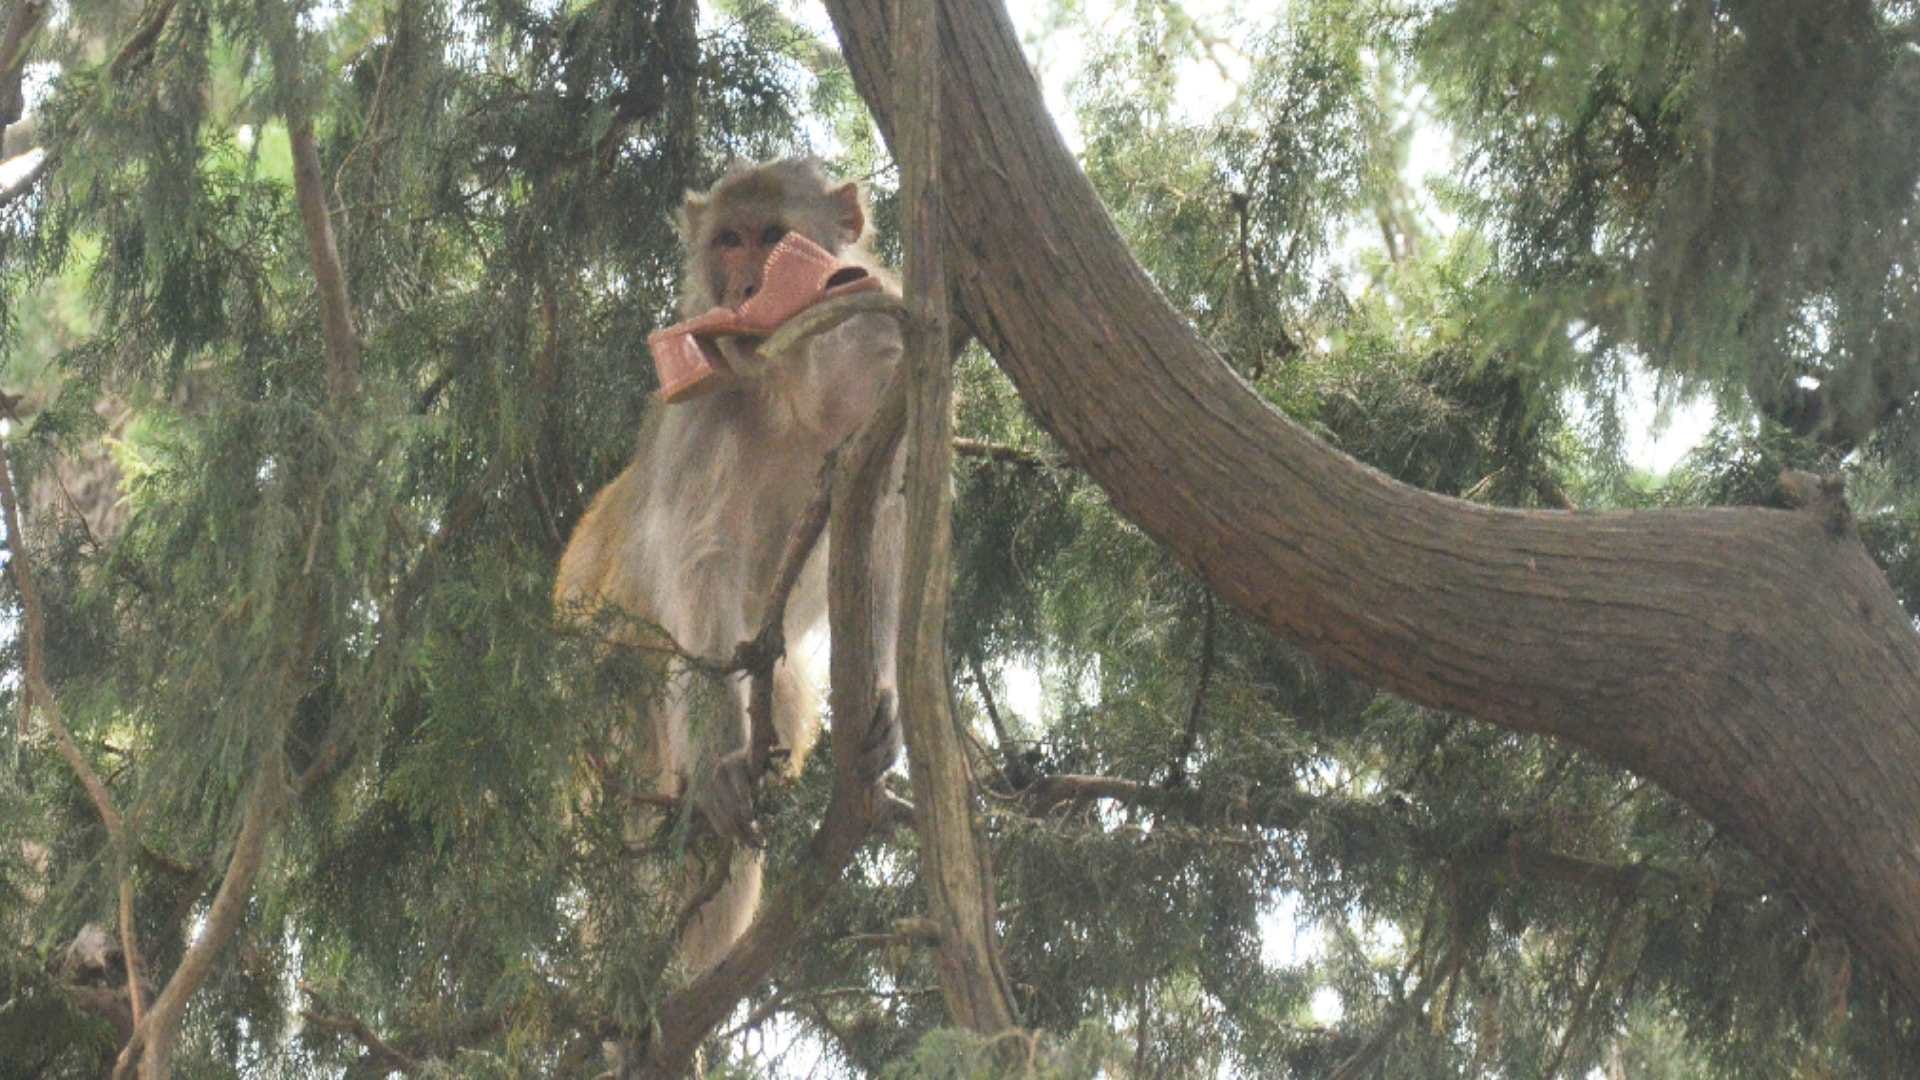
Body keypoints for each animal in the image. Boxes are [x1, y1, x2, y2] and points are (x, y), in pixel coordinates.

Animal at [554, 158, 904, 973]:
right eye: (728, 241)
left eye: (772, 237)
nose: (744, 290)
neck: (790, 376)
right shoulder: (698, 406)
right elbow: (702, 563)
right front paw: (720, 766)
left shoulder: (882, 349)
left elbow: (881, 524)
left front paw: (881, 697)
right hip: (604, 696)